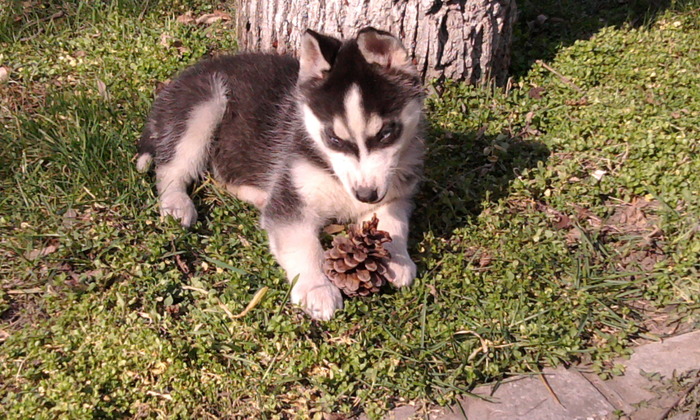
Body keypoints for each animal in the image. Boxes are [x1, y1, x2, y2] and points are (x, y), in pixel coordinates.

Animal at [135, 27, 424, 320]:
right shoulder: (292, 197)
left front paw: (397, 260)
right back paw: (176, 203)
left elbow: (392, 221)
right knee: (170, 167)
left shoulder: (397, 190)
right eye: (333, 138)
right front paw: (316, 288)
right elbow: (303, 246)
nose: (366, 195)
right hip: (204, 105)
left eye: (386, 133)